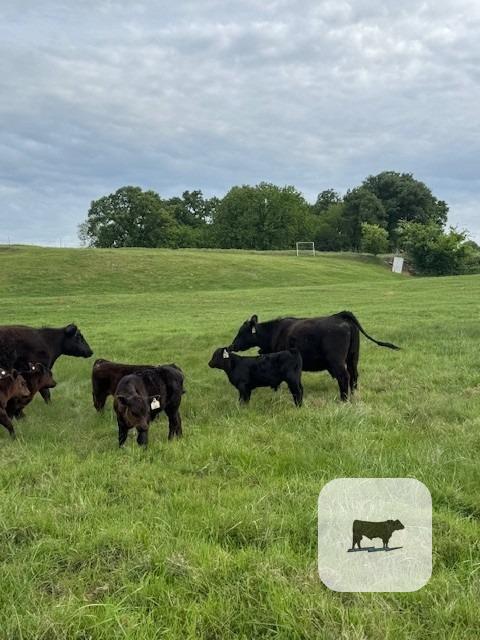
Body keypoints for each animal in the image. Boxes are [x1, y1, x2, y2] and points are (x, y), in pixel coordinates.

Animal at [229, 311, 400, 401]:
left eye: (242, 332)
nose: (232, 346)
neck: (274, 332)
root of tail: (341, 316)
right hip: (353, 357)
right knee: (354, 375)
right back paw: (353, 394)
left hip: (337, 361)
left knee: (344, 376)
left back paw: (343, 399)